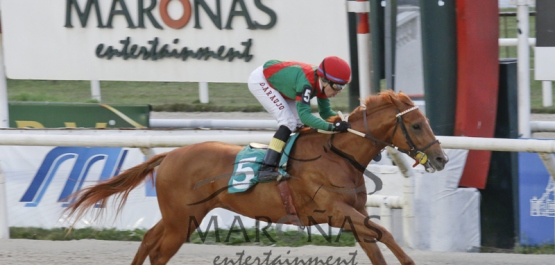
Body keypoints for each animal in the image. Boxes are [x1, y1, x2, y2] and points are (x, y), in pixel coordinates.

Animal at [65, 89, 450, 262]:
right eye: (417, 124)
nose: (442, 158)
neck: (338, 155)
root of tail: (170, 154)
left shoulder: (354, 214)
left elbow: (377, 241)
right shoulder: (335, 212)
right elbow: (385, 232)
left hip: (181, 216)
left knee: (148, 240)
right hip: (182, 220)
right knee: (159, 251)